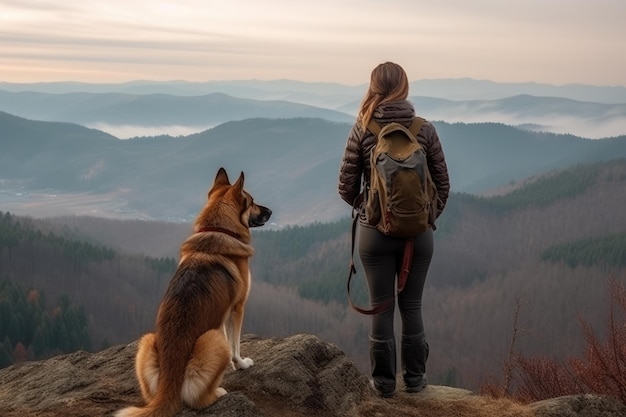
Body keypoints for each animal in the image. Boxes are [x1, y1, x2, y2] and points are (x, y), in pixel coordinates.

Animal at [114, 167, 270, 416]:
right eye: (252, 201)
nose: (270, 211)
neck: (219, 228)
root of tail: (169, 385)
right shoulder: (238, 308)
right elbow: (235, 345)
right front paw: (241, 364)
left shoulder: (223, 312)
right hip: (214, 340)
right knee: (197, 398)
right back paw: (218, 392)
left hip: (147, 341)